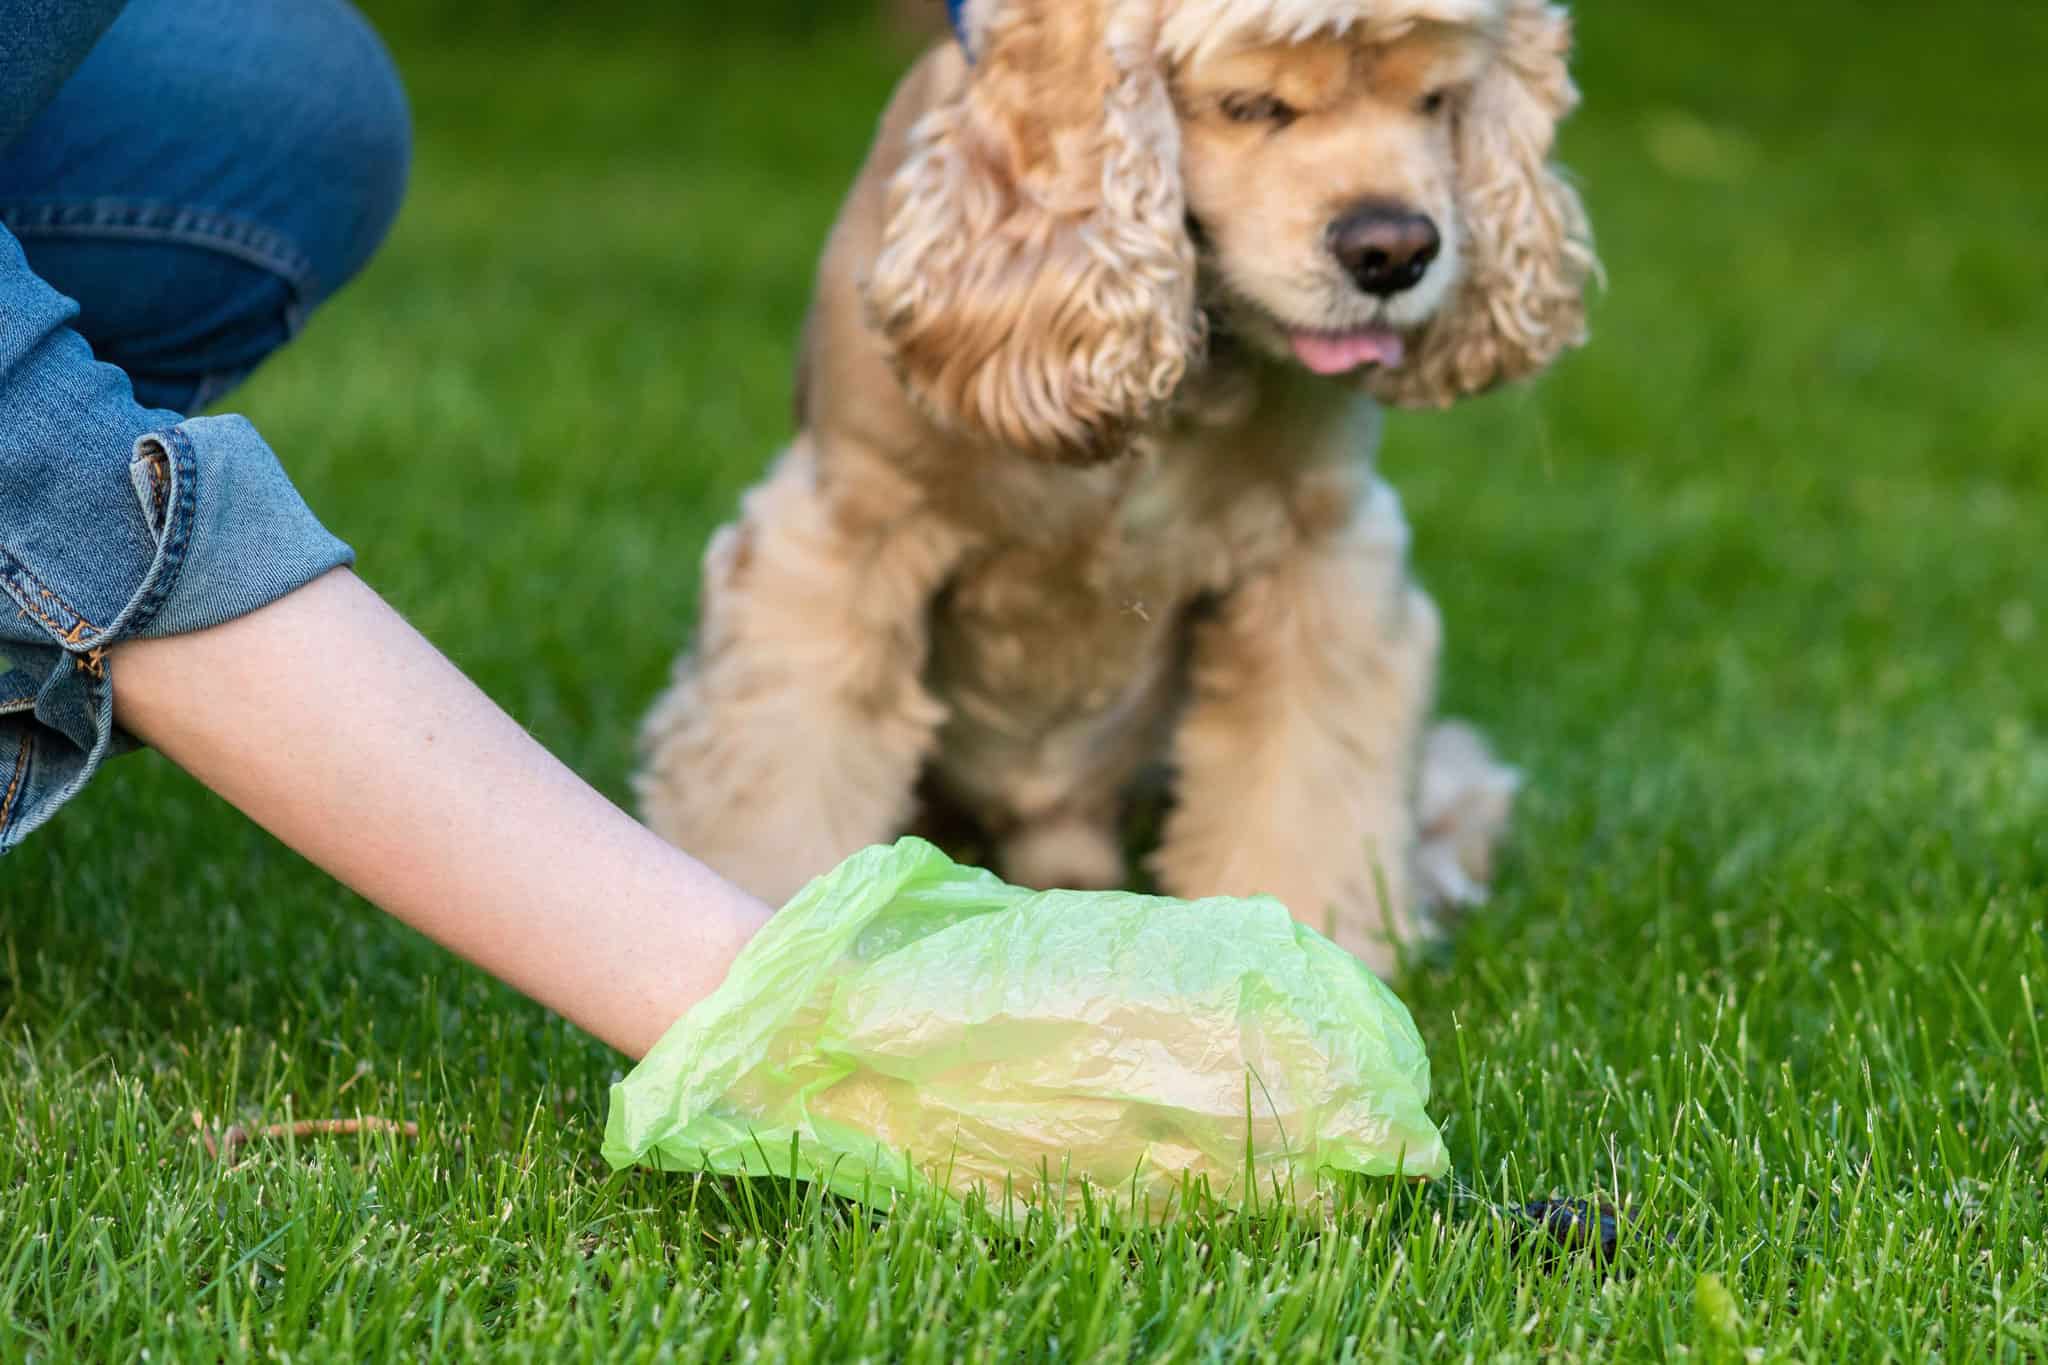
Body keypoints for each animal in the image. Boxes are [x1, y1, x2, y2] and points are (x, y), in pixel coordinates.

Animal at [630, 0, 1589, 970]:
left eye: (1436, 98)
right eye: (1249, 105)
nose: (1394, 251)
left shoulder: (1321, 559)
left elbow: (1306, 787)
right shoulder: (842, 535)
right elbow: (781, 784)